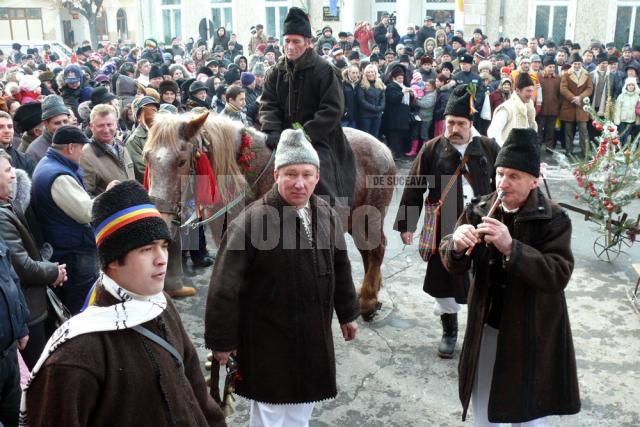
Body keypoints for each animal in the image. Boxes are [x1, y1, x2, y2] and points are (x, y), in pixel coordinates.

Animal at [145, 112, 396, 320]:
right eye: (147, 158)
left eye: (181, 161)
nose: (159, 222)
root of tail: (384, 148)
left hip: (369, 218)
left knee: (377, 249)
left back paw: (368, 301)